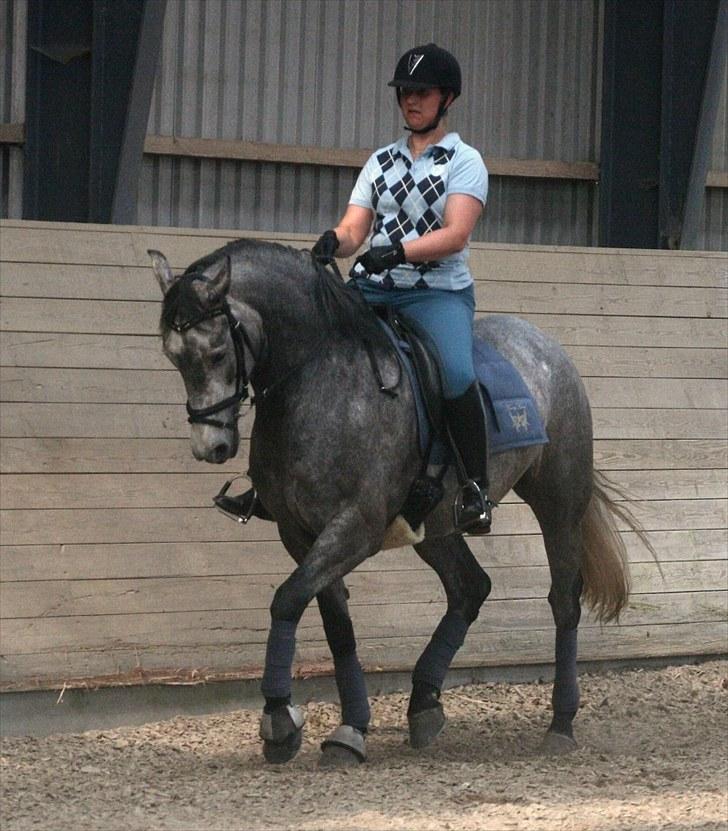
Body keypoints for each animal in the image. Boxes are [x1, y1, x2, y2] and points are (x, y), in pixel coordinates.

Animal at [151, 237, 640, 772]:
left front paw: (280, 720)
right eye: (173, 357)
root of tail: (544, 344)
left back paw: (560, 724)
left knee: (564, 601)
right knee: (469, 587)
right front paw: (348, 730)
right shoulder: (300, 533)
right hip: (435, 522)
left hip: (559, 502)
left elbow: (287, 599)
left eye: (218, 352)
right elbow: (334, 623)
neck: (318, 378)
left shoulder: (355, 527)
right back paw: (424, 704)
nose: (211, 447)